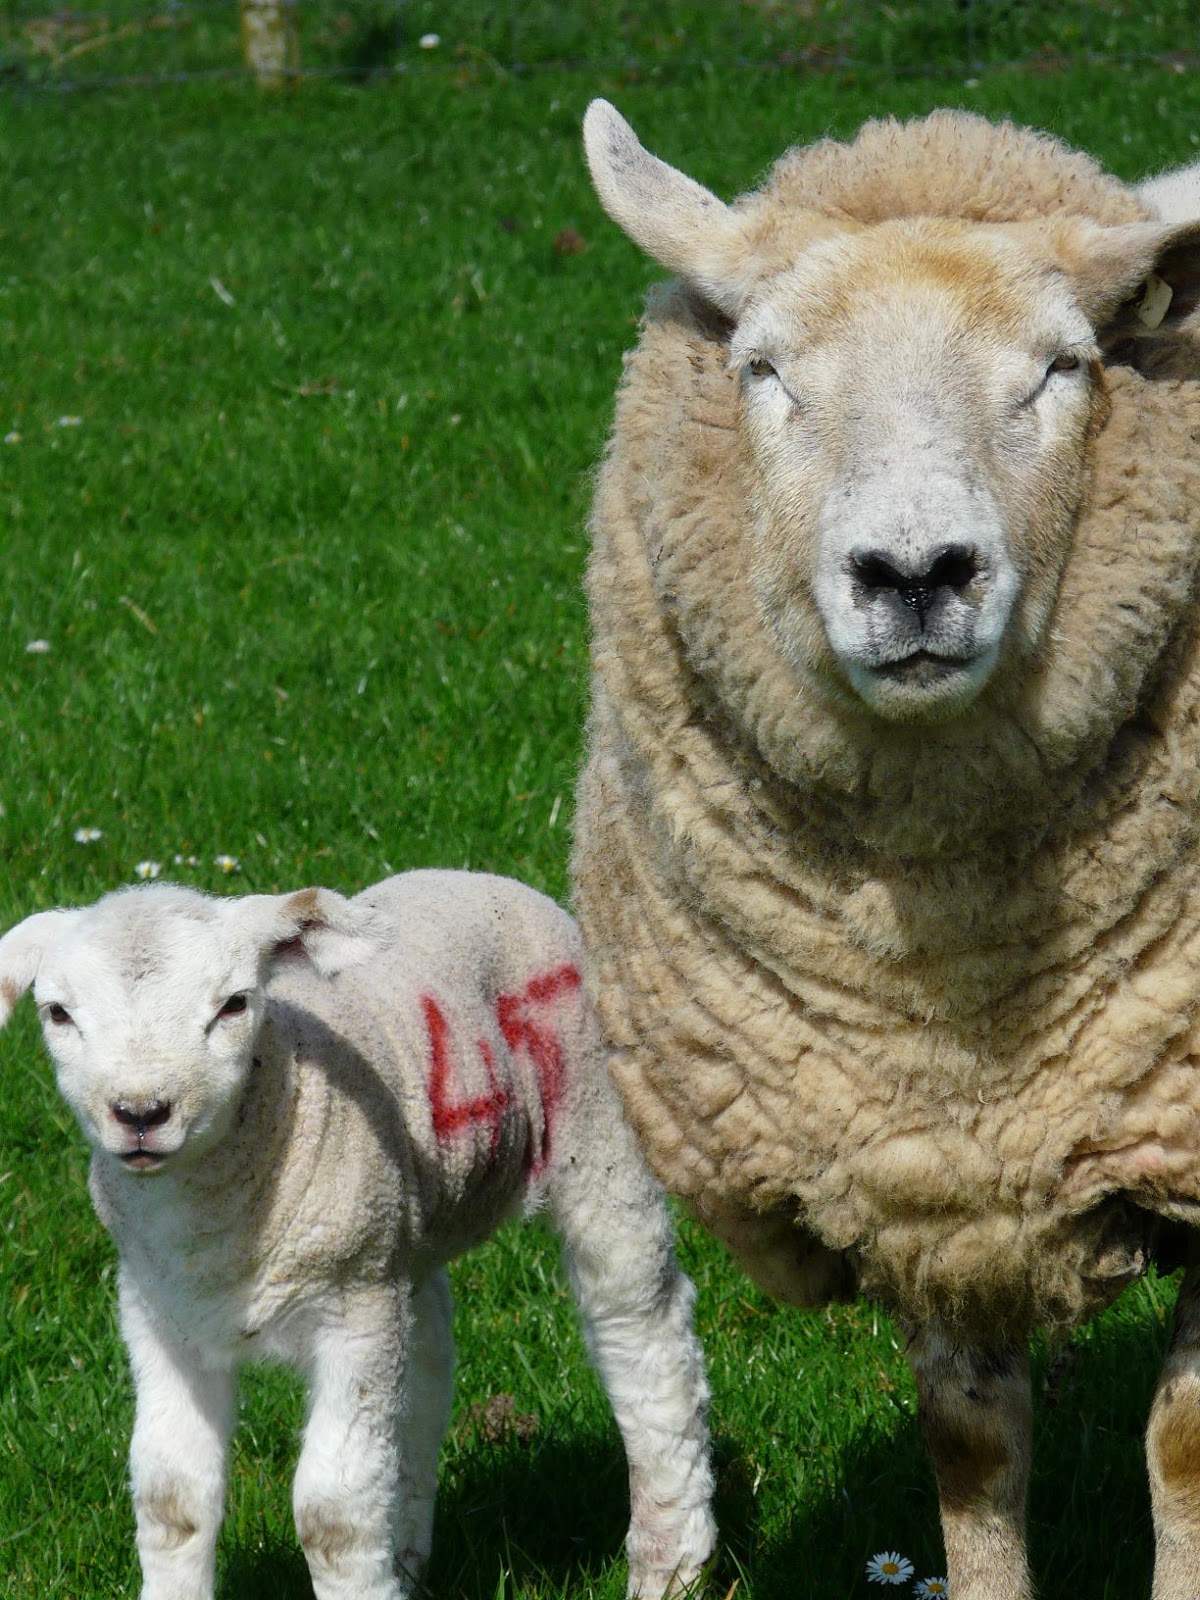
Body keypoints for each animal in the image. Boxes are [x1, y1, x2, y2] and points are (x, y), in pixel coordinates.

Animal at [0, 870, 715, 1600]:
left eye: (234, 1004)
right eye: (57, 1013)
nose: (141, 1113)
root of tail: (475, 876)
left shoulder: (354, 1310)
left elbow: (334, 1515)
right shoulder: (160, 1315)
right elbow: (171, 1498)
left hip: (596, 1128)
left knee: (643, 1332)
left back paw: (670, 1562)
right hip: (401, 1227)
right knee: (425, 1362)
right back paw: (409, 1558)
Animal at [571, 100, 1200, 1600]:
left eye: (1063, 368)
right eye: (764, 370)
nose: (916, 575)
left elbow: (1182, 1446)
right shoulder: (914, 1155)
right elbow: (969, 1450)